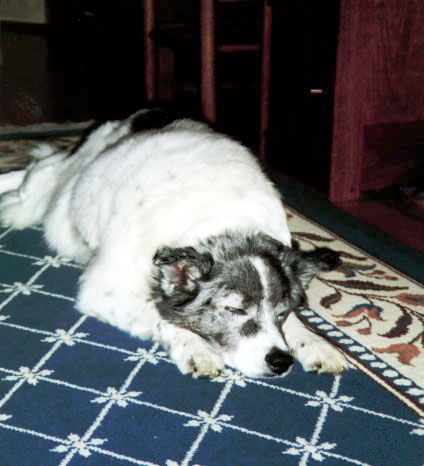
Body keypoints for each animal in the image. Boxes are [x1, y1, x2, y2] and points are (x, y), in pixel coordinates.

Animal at [0, 109, 348, 379]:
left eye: (281, 312)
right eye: (234, 309)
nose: (280, 362)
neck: (223, 220)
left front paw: (315, 343)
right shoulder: (103, 289)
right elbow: (160, 314)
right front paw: (196, 348)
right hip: (50, 192)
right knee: (32, 177)